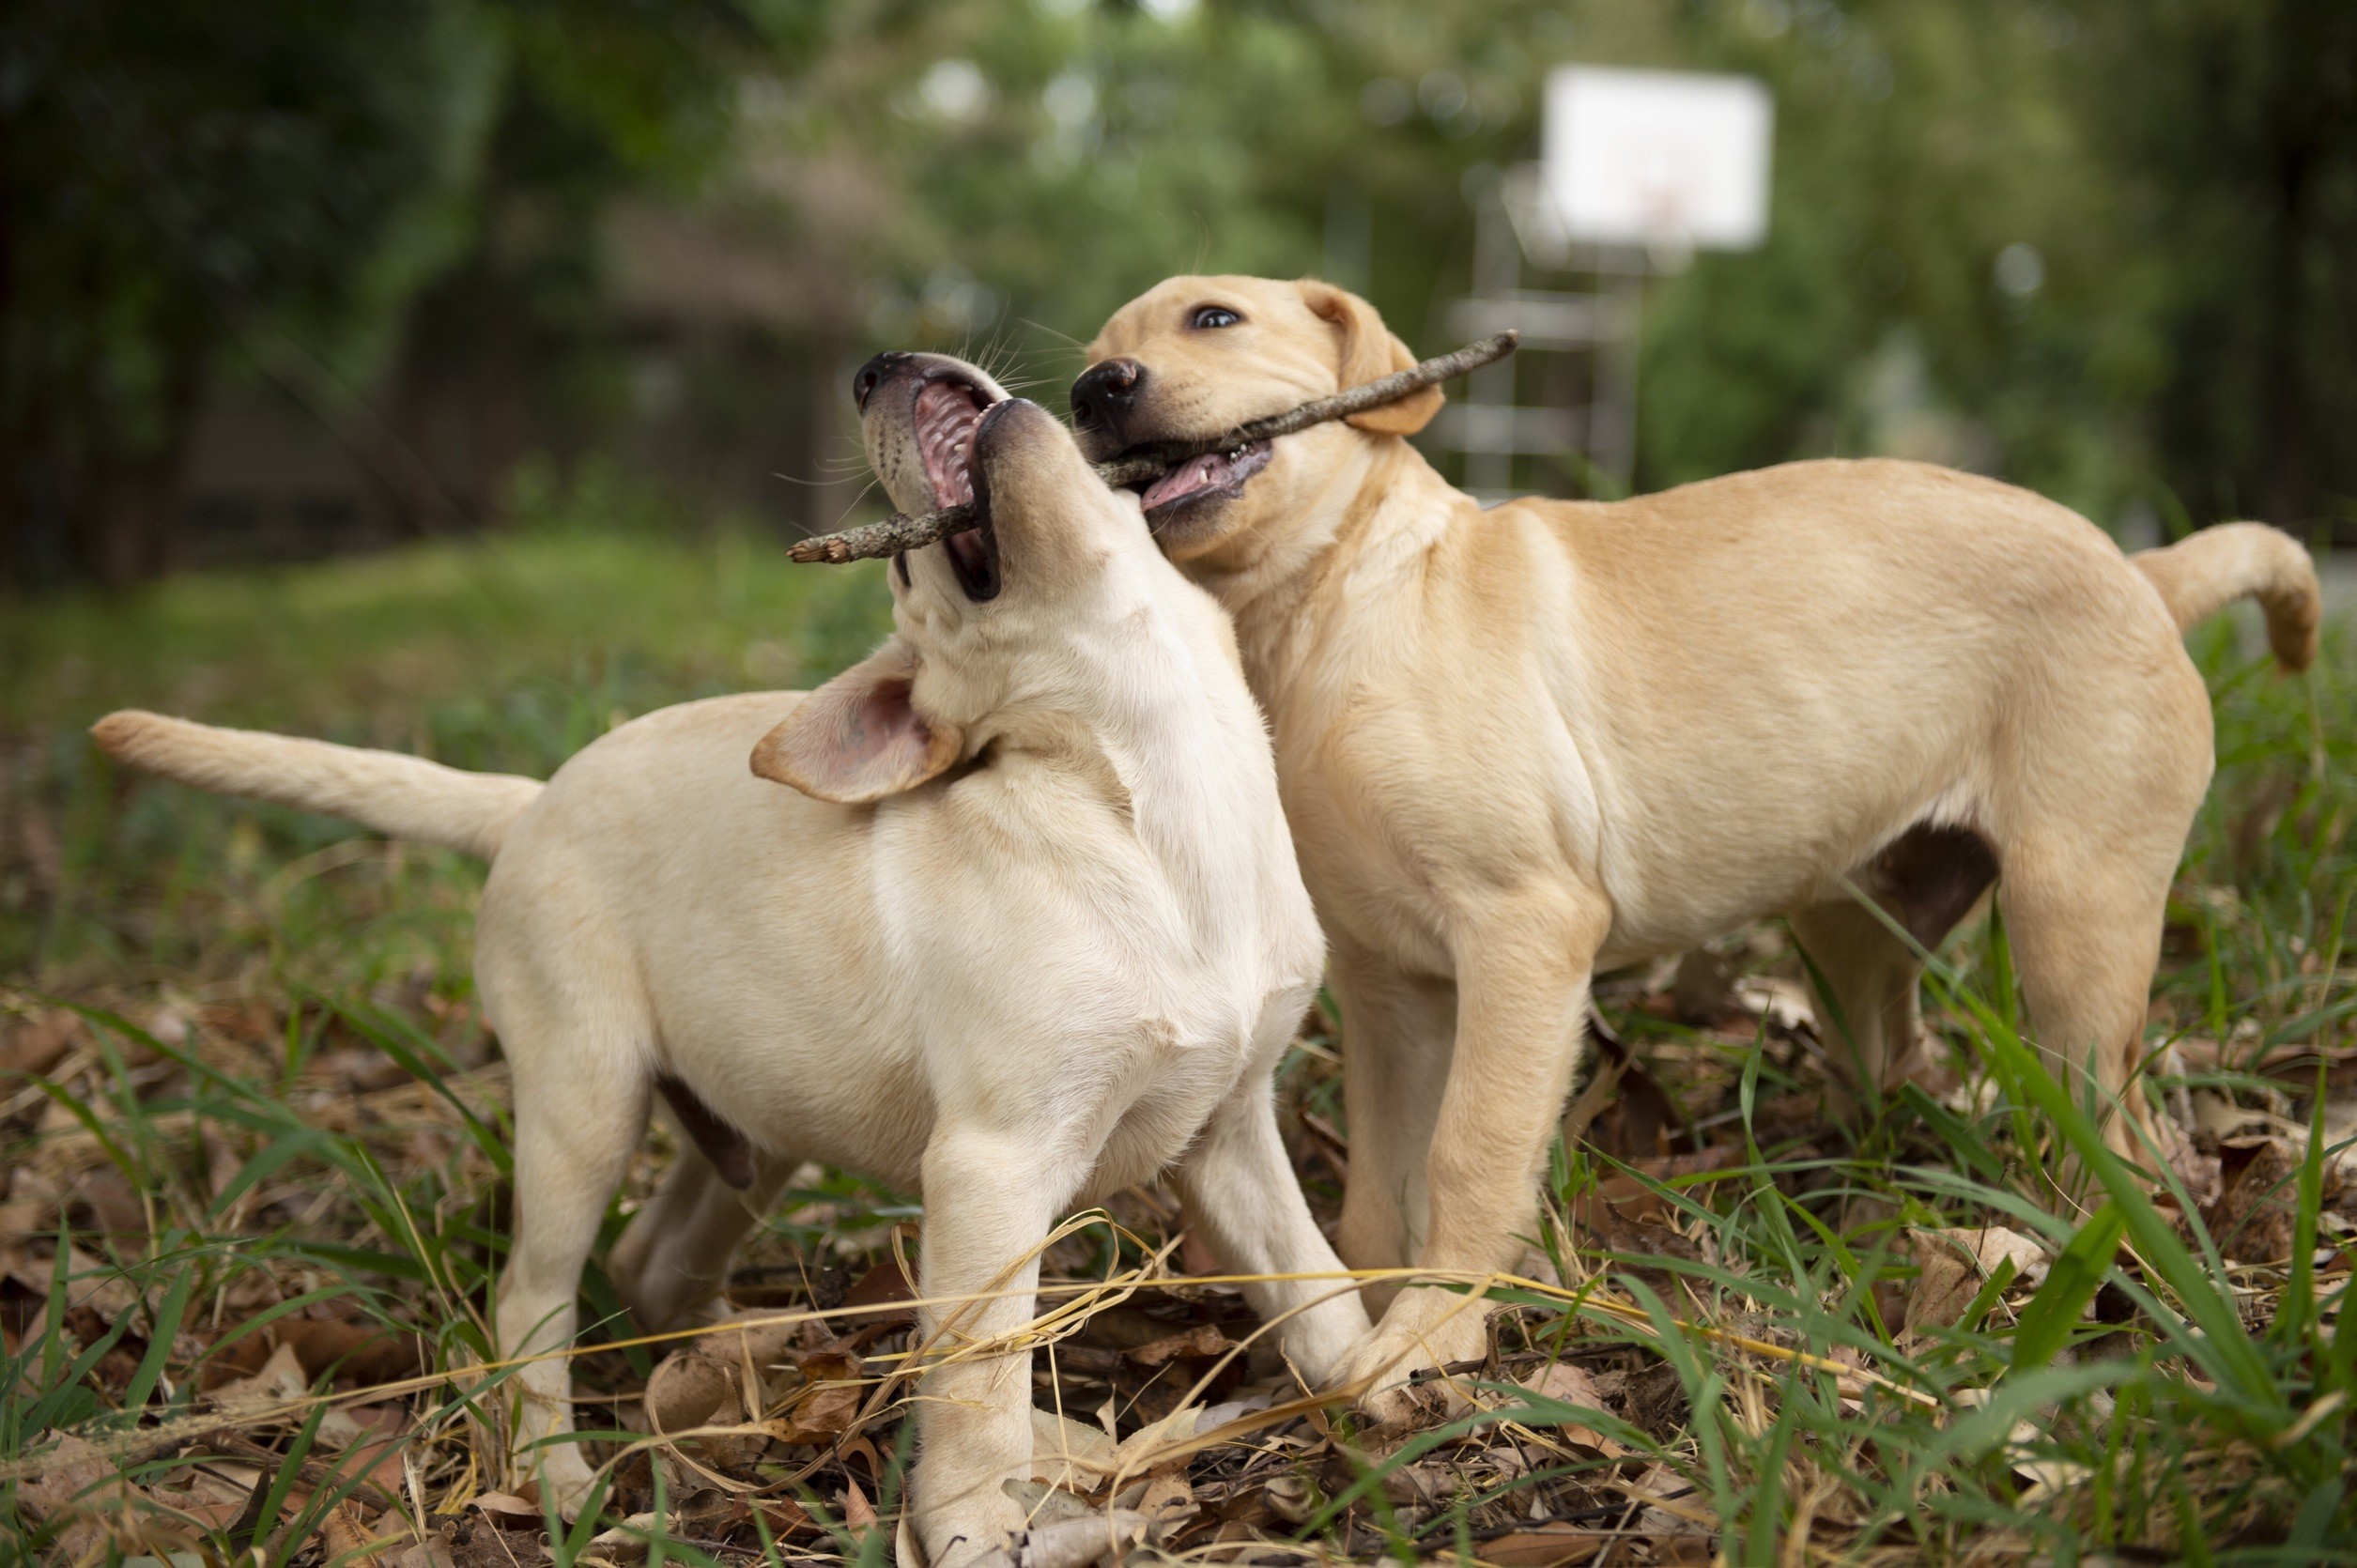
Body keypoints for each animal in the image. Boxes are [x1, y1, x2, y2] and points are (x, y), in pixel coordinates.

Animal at [91, 353, 1376, 1565]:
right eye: (903, 576)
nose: (872, 368)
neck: (1149, 790)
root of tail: (527, 800)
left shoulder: (1231, 1127)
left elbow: (1312, 1283)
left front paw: (1391, 1389)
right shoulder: (992, 1166)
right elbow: (978, 1385)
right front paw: (968, 1525)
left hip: (757, 1129)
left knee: (652, 1260)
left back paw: (722, 1385)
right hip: (583, 1107)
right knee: (529, 1304)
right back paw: (558, 1476)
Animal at [1074, 274, 2318, 1414]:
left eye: (1214, 319)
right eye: (1093, 356)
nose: (1093, 393)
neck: (1337, 599)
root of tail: (2141, 573)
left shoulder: (1523, 933)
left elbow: (1468, 1151)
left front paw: (1434, 1332)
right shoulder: (1391, 989)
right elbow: (1381, 1182)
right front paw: (1373, 1315)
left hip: (2074, 927)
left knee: (2120, 1129)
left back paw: (2096, 1268)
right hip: (1853, 928)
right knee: (1901, 1054)